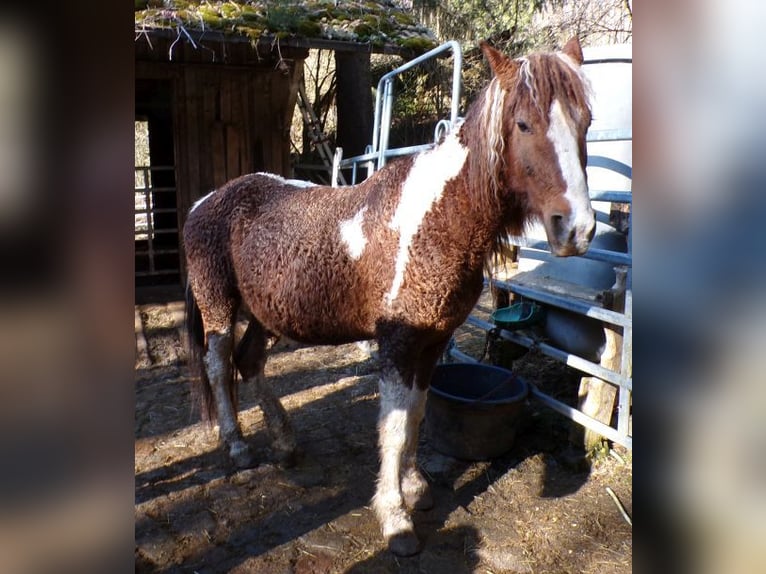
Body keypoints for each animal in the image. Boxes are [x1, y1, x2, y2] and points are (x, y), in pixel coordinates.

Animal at [183, 37, 595, 556]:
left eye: (586, 121)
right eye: (523, 123)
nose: (577, 229)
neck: (437, 221)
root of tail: (203, 203)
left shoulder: (433, 342)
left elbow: (416, 415)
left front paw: (416, 488)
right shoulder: (398, 343)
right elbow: (395, 428)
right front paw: (396, 518)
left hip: (265, 314)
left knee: (249, 362)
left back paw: (286, 443)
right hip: (218, 306)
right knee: (220, 367)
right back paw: (236, 446)